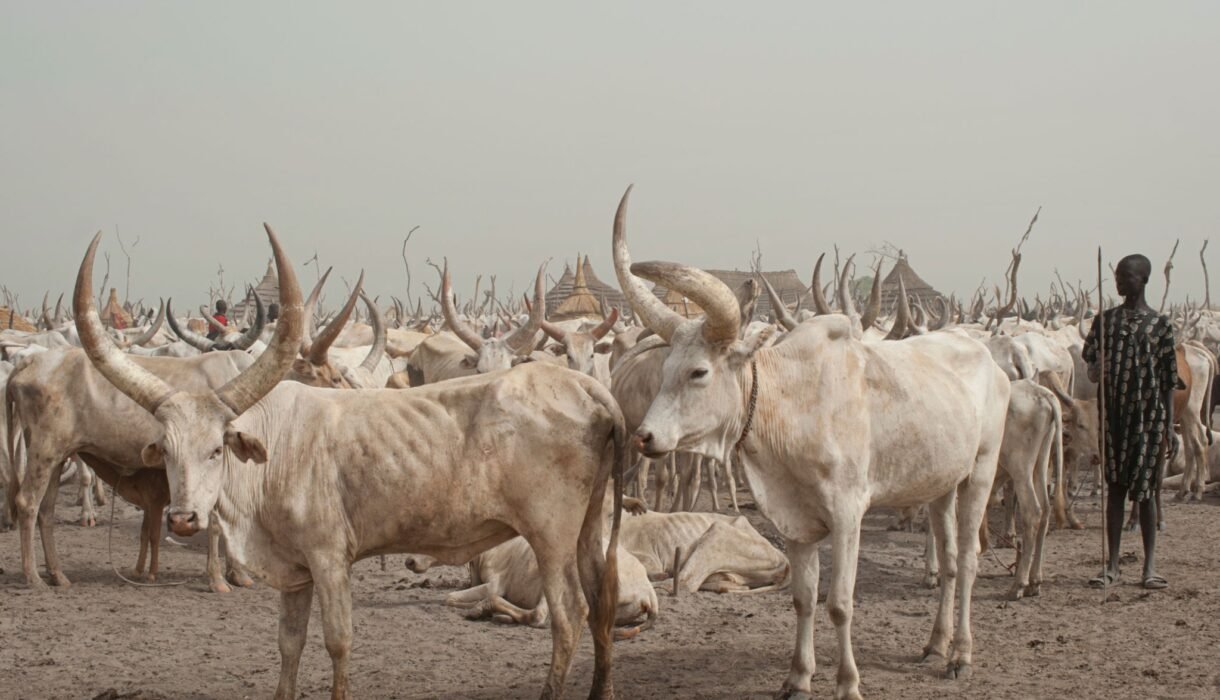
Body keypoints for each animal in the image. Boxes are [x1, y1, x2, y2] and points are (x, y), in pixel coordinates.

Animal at [72, 226, 623, 700]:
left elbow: (338, 641)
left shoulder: (330, 557)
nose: (184, 518)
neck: (277, 449)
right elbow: (288, 643)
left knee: (569, 615)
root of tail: (585, 386)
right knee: (602, 601)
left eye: (217, 447)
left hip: (550, 535)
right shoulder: (295, 571)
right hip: (589, 526)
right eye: (165, 450)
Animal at [612, 187, 1009, 698]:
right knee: (951, 561)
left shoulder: (848, 515)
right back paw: (936, 645)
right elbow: (803, 598)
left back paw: (960, 654)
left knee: (970, 559)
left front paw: (848, 684)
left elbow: (839, 603)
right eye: (664, 370)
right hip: (940, 483)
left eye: (699, 371)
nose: (644, 436)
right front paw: (798, 678)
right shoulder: (795, 521)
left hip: (980, 471)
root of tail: (988, 358)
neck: (792, 406)